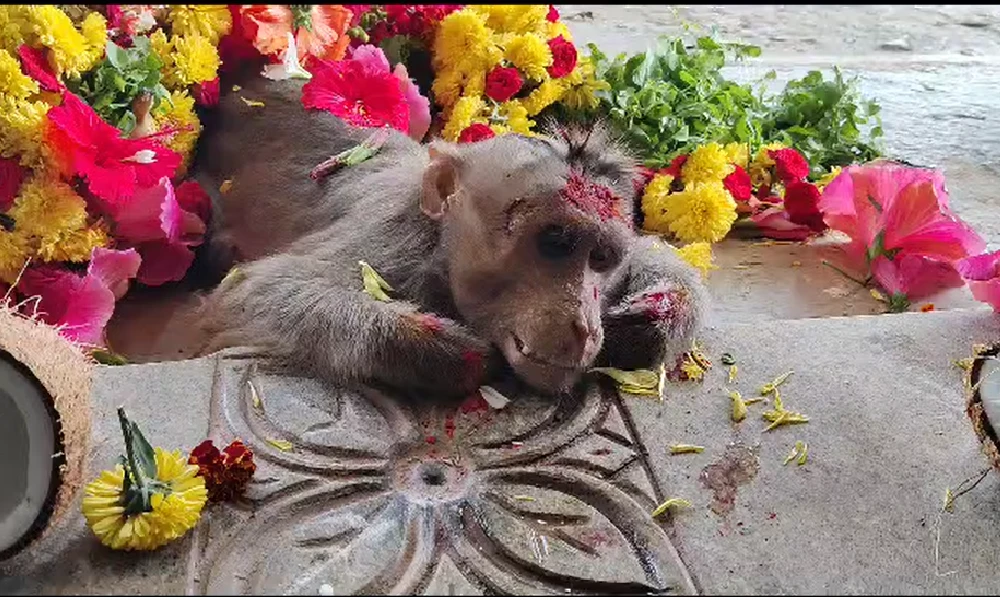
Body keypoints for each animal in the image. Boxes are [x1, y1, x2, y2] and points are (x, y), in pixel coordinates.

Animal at [193, 75, 712, 400]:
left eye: (601, 257)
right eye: (555, 243)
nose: (584, 325)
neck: (438, 245)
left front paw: (652, 318)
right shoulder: (392, 244)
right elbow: (251, 291)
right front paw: (440, 352)